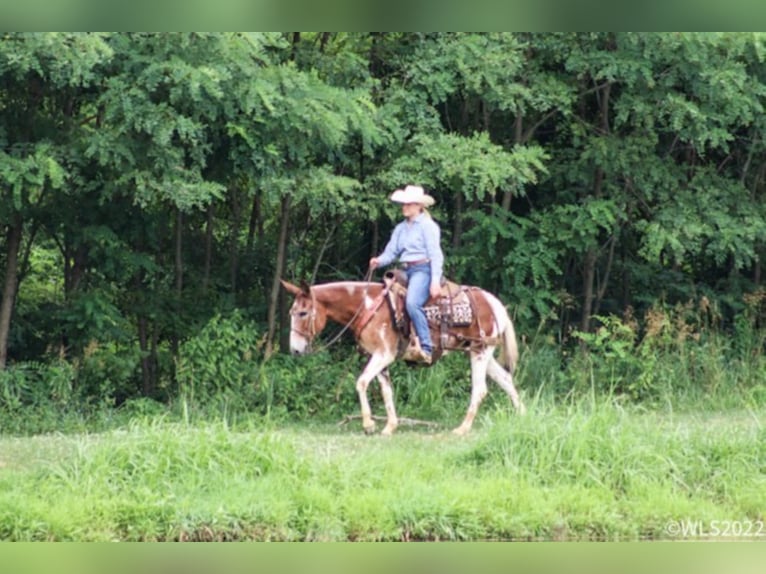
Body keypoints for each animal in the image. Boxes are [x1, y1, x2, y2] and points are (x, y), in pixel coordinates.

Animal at [282, 280, 528, 436]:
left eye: (303, 313)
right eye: (291, 313)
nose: (295, 350)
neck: (368, 306)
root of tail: (494, 303)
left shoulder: (383, 354)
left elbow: (361, 382)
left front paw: (368, 424)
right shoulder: (379, 358)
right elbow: (386, 391)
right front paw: (389, 426)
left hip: (480, 352)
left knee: (480, 389)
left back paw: (462, 429)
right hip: (480, 352)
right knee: (506, 379)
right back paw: (522, 417)